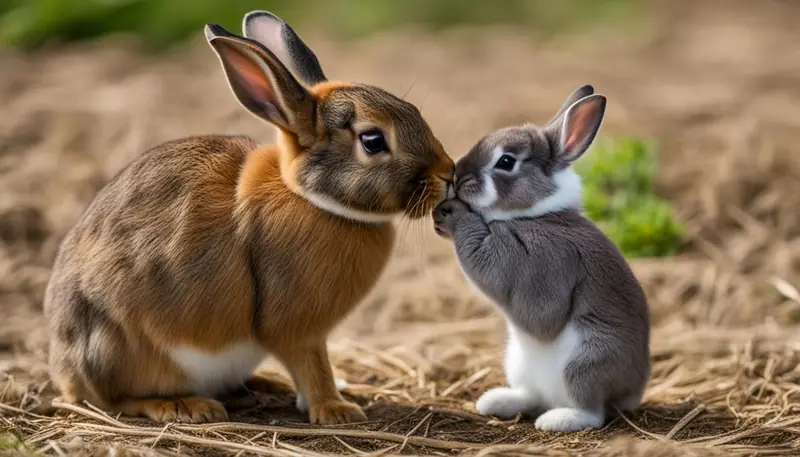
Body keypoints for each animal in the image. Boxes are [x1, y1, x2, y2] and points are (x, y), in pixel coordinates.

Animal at [43, 10, 454, 425]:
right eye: (373, 141)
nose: (448, 174)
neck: (310, 198)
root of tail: (66, 375)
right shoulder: (297, 329)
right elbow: (313, 366)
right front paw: (335, 409)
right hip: (120, 350)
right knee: (117, 399)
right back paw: (185, 405)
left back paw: (265, 384)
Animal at [432, 85, 650, 432]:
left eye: (506, 161)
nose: (458, 177)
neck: (535, 213)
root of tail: (633, 391)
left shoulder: (547, 264)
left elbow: (539, 316)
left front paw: (453, 215)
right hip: (518, 362)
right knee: (532, 396)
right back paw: (497, 402)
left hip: (585, 363)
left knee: (592, 412)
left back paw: (558, 419)